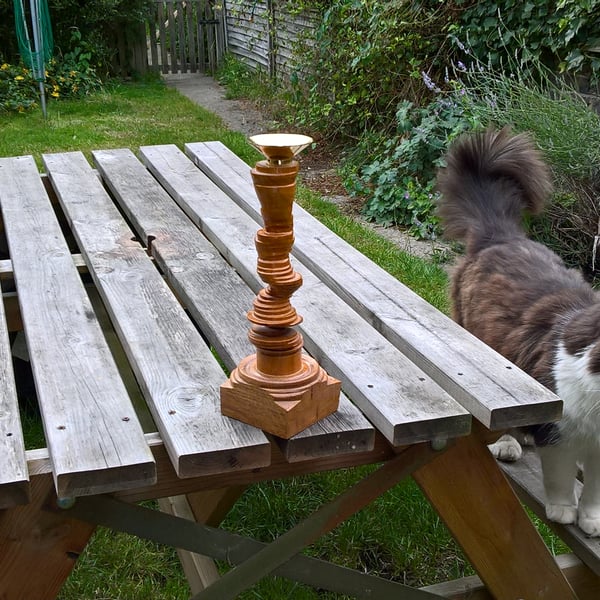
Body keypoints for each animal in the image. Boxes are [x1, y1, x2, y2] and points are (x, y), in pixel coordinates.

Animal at [436, 127, 600, 540]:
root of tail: (501, 234)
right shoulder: (559, 431)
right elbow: (560, 477)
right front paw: (563, 511)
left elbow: (594, 490)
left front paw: (592, 520)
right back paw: (509, 443)